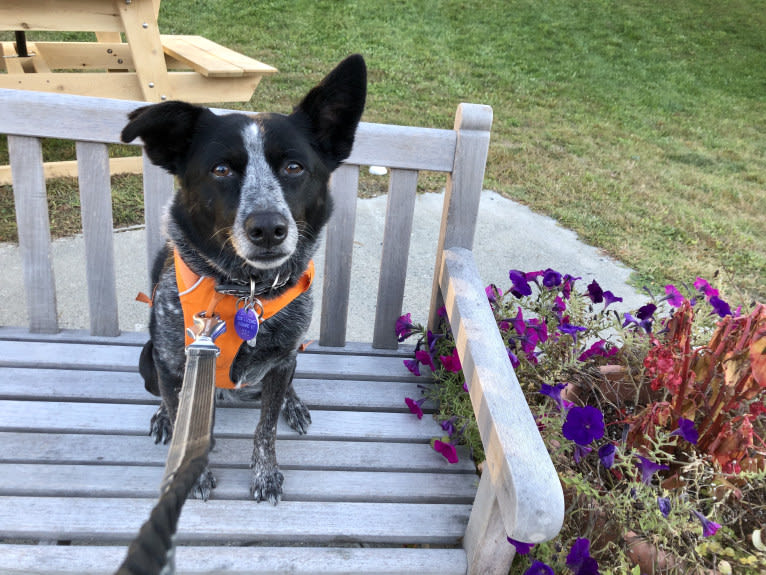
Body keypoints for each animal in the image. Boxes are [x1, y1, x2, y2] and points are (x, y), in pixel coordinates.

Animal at [121, 54, 368, 504]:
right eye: (221, 170)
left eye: (294, 167)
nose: (268, 228)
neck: (245, 290)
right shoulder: (173, 362)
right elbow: (183, 418)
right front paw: (191, 471)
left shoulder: (282, 358)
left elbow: (265, 428)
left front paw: (266, 472)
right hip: (148, 360)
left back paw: (293, 402)